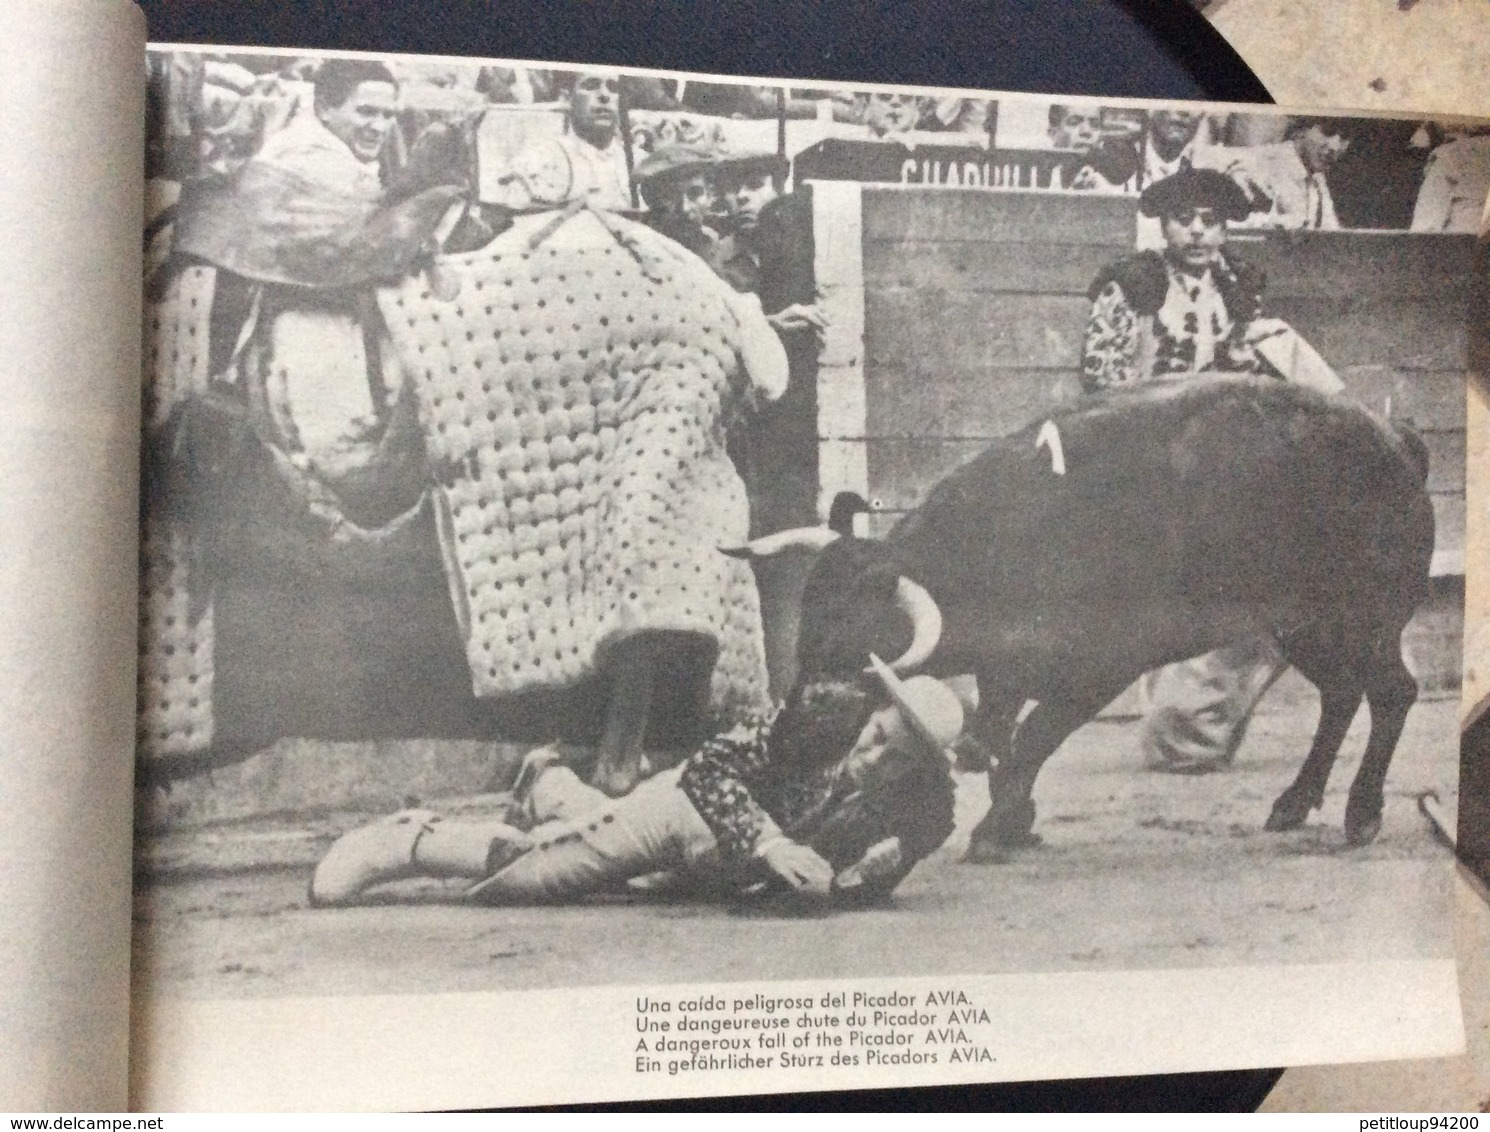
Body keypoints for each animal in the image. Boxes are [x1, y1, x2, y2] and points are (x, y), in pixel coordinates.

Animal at [727, 375, 1436, 863]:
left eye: (855, 652)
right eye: (806, 634)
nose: (787, 737)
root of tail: (1397, 442)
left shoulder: (1100, 670)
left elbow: (1031, 740)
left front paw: (996, 831)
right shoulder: (1006, 669)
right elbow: (999, 739)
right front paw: (1016, 822)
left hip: (1363, 620)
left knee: (1392, 693)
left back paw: (1360, 814)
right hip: (1306, 628)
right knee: (1341, 696)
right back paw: (1292, 804)